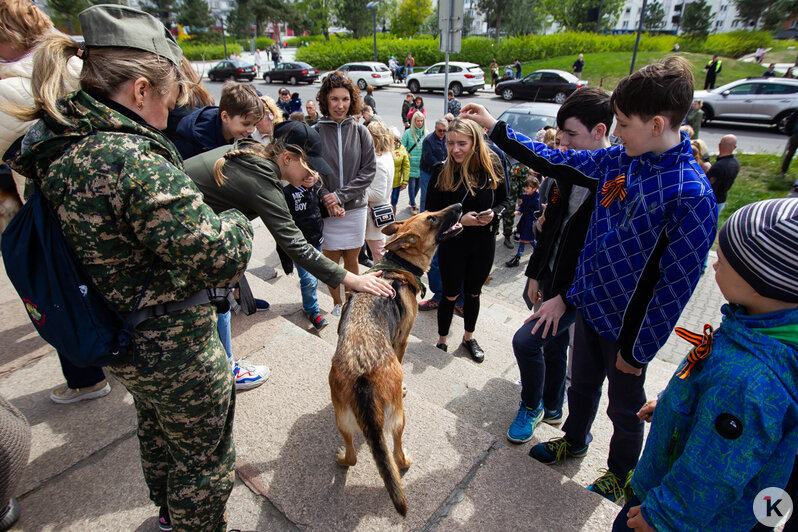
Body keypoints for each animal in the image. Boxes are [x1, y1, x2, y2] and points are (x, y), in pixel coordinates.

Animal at [330, 202, 466, 512]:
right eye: (432, 219)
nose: (459, 205)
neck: (398, 263)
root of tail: (363, 373)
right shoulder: (401, 340)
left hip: (341, 417)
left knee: (353, 456)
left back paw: (342, 457)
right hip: (398, 419)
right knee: (395, 454)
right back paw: (404, 462)